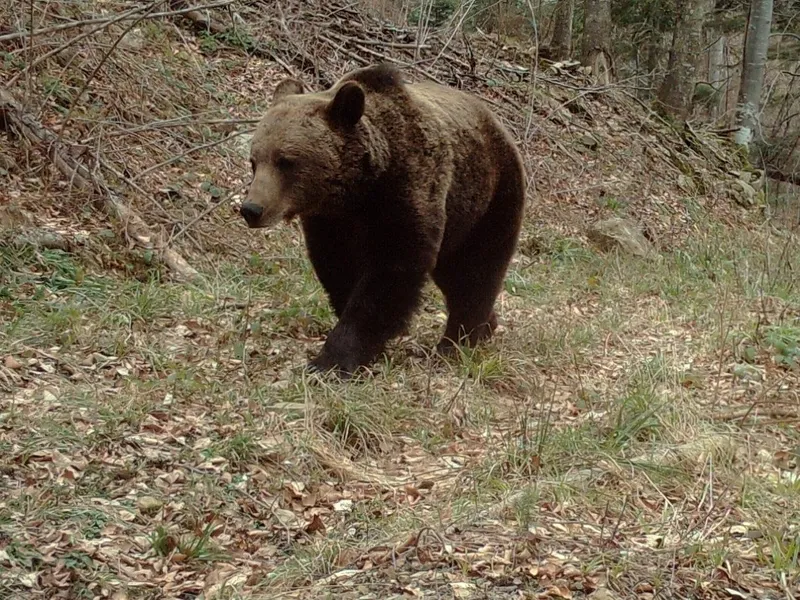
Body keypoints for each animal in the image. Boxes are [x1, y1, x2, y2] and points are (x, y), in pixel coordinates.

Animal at [244, 63, 532, 378]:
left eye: (286, 161)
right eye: (254, 161)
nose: (252, 208)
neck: (359, 190)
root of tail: (499, 124)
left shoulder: (403, 195)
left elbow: (389, 276)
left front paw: (332, 360)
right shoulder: (331, 222)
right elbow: (339, 269)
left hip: (487, 200)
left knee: (475, 272)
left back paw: (456, 343)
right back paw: (486, 326)